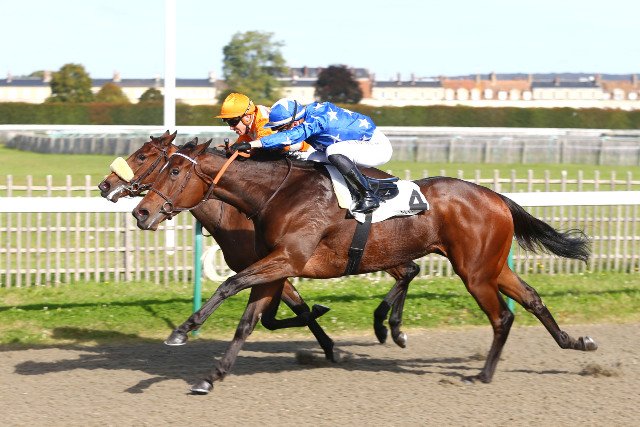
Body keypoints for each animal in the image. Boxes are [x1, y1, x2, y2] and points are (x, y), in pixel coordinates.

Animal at [98, 131, 420, 362]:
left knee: (409, 271)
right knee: (410, 270)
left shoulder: (277, 263)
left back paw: (387, 326)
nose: (105, 185)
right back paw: (390, 327)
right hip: (380, 252)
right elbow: (280, 314)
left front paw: (327, 338)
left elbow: (291, 311)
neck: (237, 208)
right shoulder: (274, 267)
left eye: (143, 156)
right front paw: (327, 341)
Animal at [132, 138, 596, 395]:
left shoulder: (286, 259)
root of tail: (496, 197)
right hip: (491, 266)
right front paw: (211, 377)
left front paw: (181, 331)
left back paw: (480, 374)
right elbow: (249, 322)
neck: (274, 194)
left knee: (501, 316)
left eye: (172, 169)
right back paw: (576, 342)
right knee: (531, 299)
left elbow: (229, 285)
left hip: (476, 273)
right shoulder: (275, 267)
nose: (142, 212)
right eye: (159, 164)